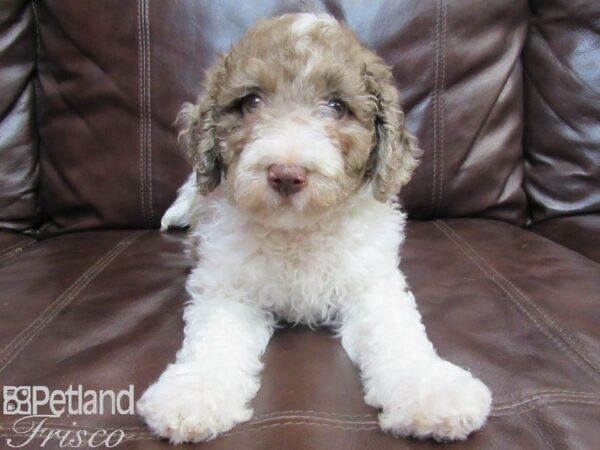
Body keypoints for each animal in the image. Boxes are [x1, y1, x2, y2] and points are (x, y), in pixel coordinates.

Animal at [137, 12, 492, 444]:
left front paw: (433, 392)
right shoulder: (227, 289)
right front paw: (192, 394)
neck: (297, 232)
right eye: (251, 102)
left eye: (337, 106)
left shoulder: (371, 284)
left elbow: (398, 333)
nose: (286, 174)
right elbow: (213, 341)